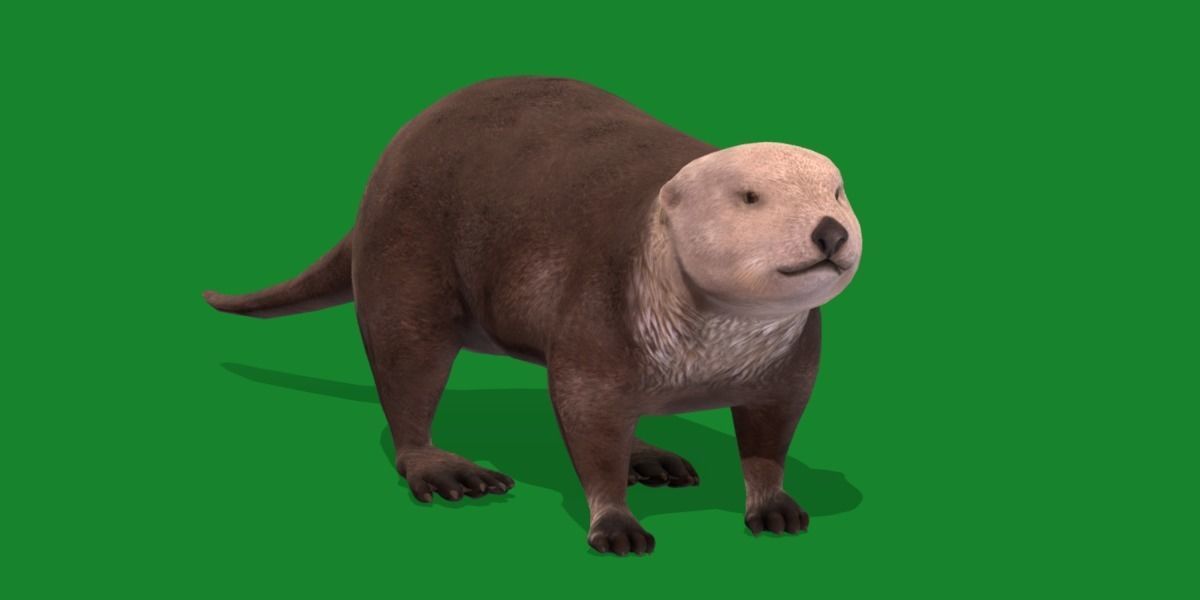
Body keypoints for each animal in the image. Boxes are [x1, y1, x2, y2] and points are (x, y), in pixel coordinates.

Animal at [204, 76, 863, 556]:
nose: (830, 231)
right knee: (406, 374)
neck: (709, 358)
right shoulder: (598, 312)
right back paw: (447, 472)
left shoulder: (791, 365)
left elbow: (770, 437)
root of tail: (376, 180)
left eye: (836, 192)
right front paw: (615, 526)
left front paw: (773, 505)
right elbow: (588, 425)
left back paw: (650, 455)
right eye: (750, 197)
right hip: (404, 259)